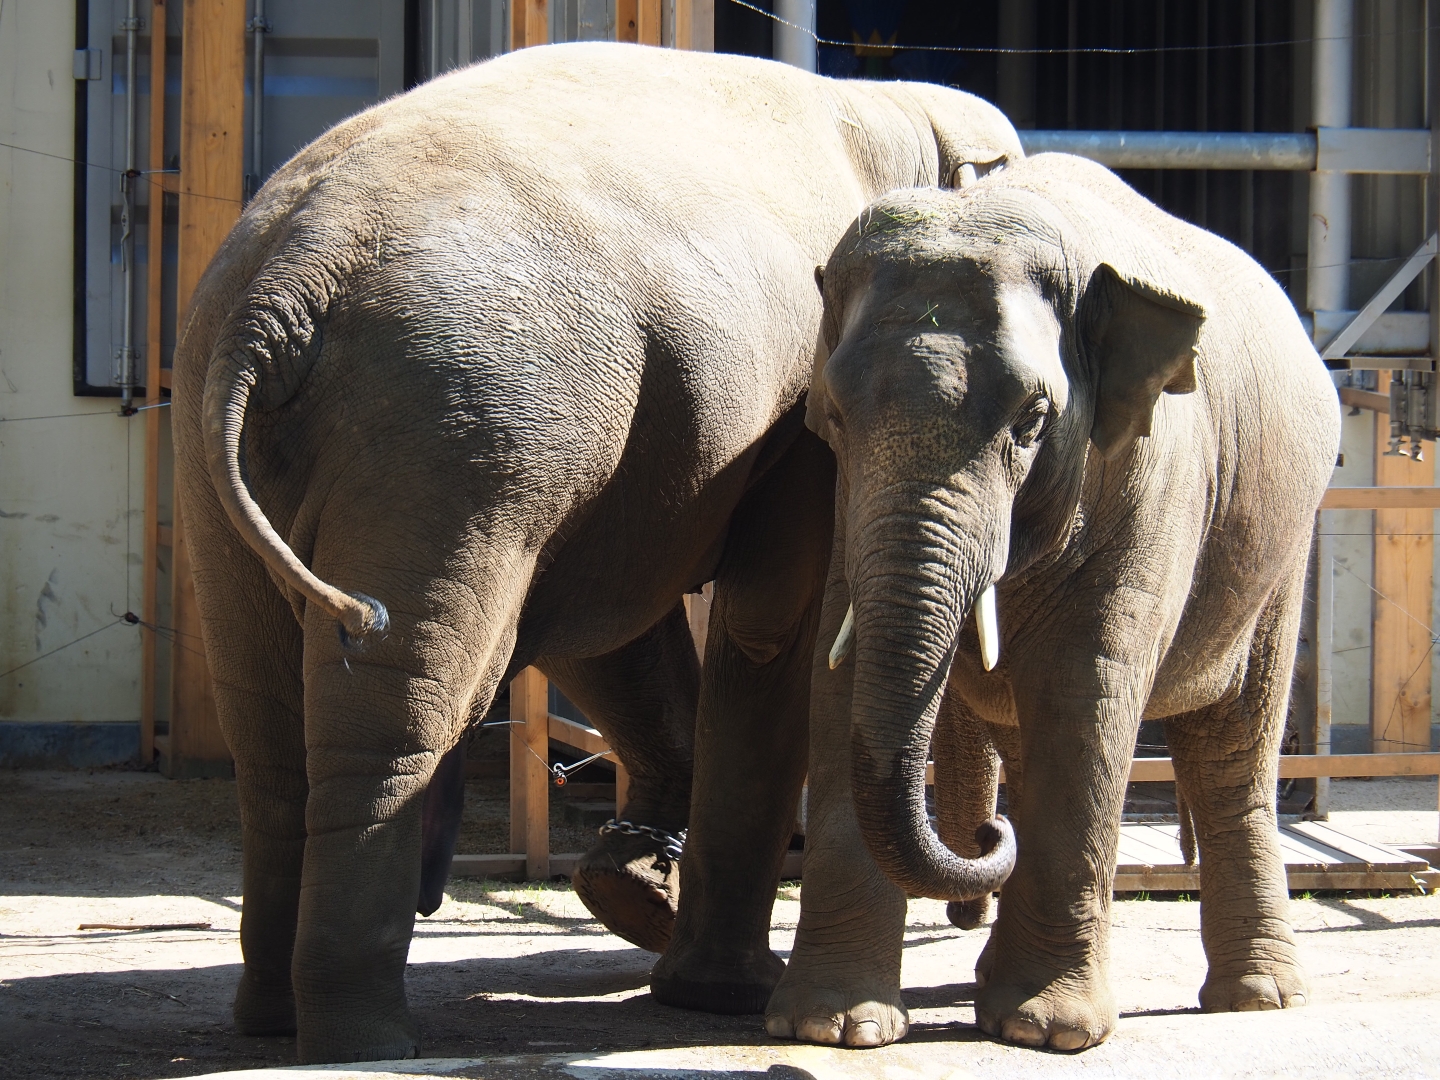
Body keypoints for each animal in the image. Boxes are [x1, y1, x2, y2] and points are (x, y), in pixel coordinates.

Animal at [170, 41, 1024, 1063]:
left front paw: (634, 896)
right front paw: (720, 993)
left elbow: (610, 626)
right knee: (401, 705)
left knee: (264, 725)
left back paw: (270, 1020)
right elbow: (771, 624)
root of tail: (286, 282)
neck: (902, 110)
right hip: (456, 430)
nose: (984, 861)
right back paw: (363, 1040)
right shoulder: (812, 416)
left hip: (222, 446)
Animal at [765, 153, 1340, 1050]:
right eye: (833, 418)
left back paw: (1258, 1000)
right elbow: (840, 679)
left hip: (1282, 546)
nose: (984, 833)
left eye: (1033, 420)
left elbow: (1083, 686)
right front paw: (833, 1027)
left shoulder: (1153, 476)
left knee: (1233, 740)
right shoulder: (846, 501)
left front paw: (1048, 1032)